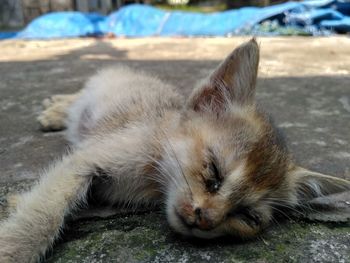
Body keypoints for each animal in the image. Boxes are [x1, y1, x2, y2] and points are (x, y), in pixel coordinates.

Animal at [0, 39, 350, 263]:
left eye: (248, 216)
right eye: (213, 172)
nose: (205, 219)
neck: (152, 179)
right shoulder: (84, 161)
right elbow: (44, 214)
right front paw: (13, 248)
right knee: (80, 96)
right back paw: (56, 108)